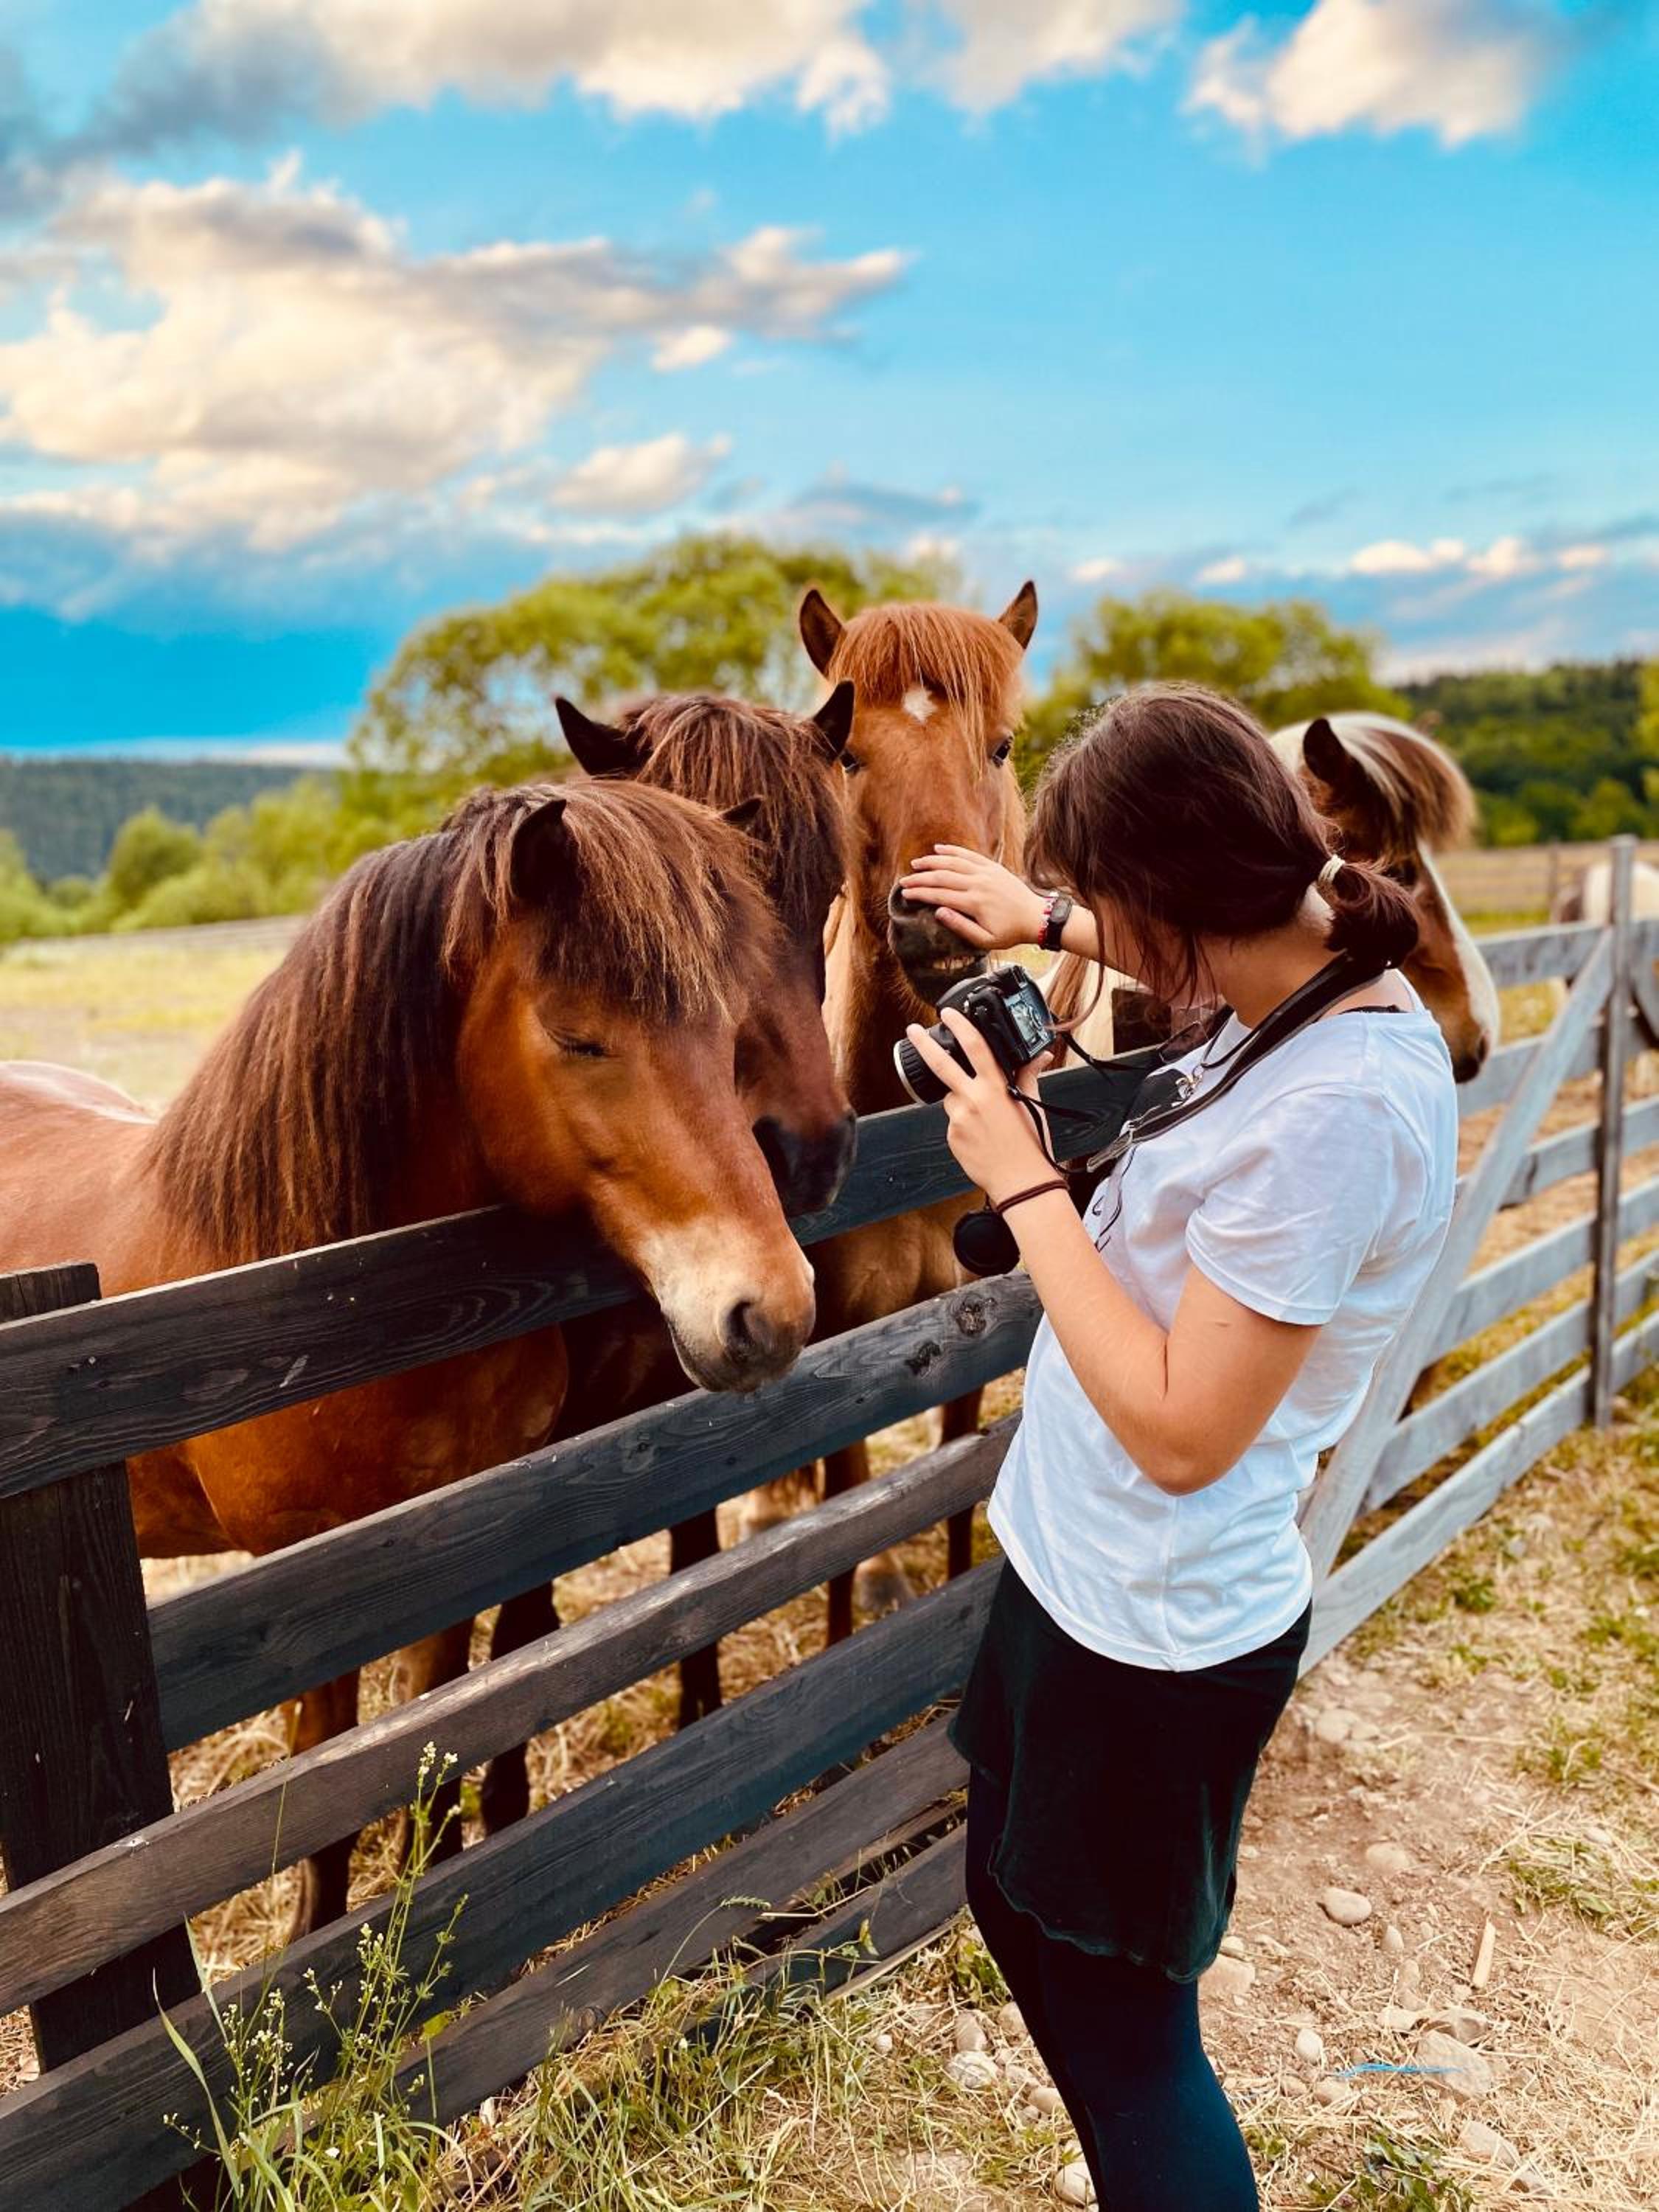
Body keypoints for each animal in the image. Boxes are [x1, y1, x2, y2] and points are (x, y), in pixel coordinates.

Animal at [0, 780, 818, 1934]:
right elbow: (328, 1804)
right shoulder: (305, 1596)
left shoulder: (445, 1557)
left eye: (726, 1033)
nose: (771, 1310)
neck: (339, 1293)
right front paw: (323, 1949)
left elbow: (436, 1753)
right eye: (578, 1038)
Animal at [452, 687, 856, 1836]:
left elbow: (695, 1550)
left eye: (832, 891)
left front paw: (702, 1713)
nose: (809, 1150)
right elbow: (526, 1623)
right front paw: (506, 1806)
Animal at [739, 584, 1037, 1639]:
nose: (937, 918)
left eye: (1000, 746)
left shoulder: (971, 1312)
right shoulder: (837, 1344)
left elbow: (950, 1474)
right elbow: (847, 1492)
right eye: (849, 755)